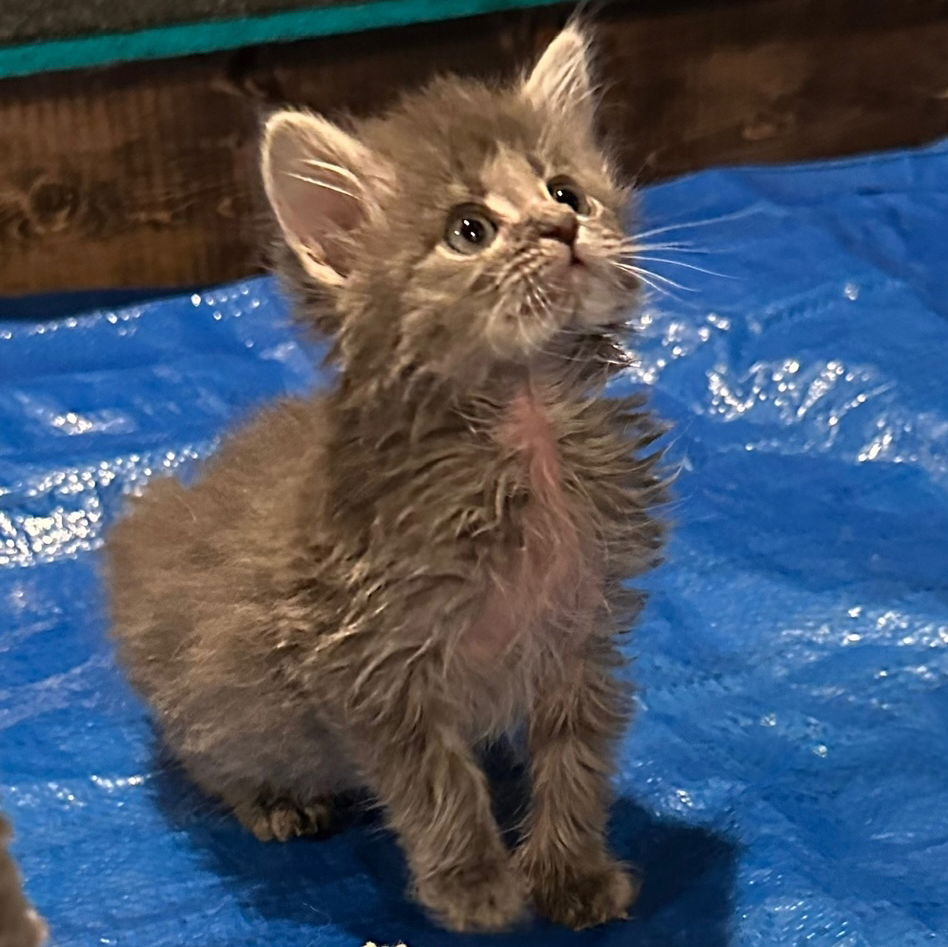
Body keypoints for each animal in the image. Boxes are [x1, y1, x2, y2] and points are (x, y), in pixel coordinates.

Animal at [105, 24, 668, 932]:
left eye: (567, 191)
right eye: (470, 229)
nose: (560, 228)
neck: (526, 433)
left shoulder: (582, 628)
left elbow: (575, 760)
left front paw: (571, 871)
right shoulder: (367, 664)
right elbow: (436, 782)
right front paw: (475, 883)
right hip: (212, 700)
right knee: (201, 750)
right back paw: (270, 799)